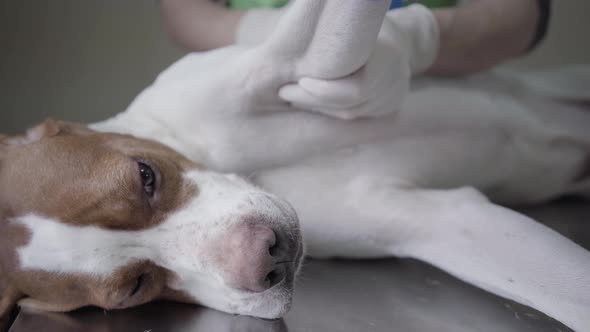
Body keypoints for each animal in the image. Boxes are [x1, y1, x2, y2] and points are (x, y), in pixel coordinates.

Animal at [1, 0, 590, 332]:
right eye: (136, 287)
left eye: (145, 176)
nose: (269, 257)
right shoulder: (442, 222)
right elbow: (567, 292)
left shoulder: (295, 60)